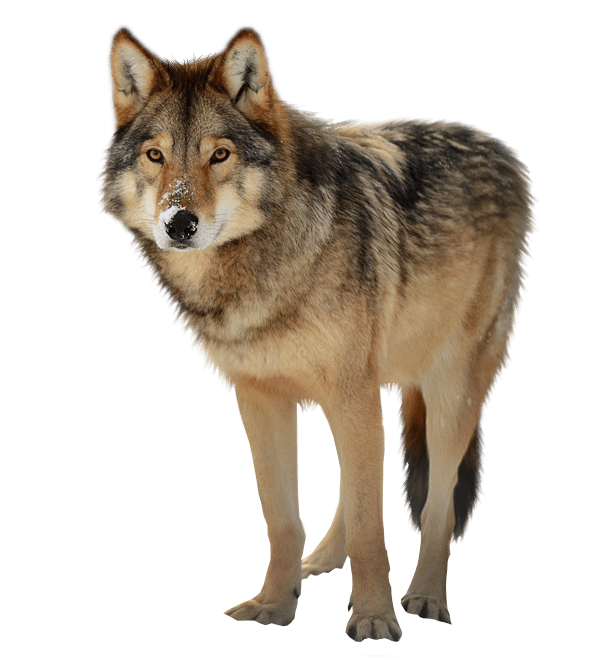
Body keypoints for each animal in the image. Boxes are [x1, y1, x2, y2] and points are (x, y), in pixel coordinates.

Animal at [97, 23, 538, 642]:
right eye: (155, 155)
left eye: (220, 154)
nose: (178, 223)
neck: (264, 270)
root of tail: (502, 146)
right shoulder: (260, 398)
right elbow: (285, 519)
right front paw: (274, 605)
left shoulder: (351, 391)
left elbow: (377, 524)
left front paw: (375, 616)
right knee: (355, 491)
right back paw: (326, 561)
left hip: (449, 388)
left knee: (437, 502)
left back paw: (426, 595)